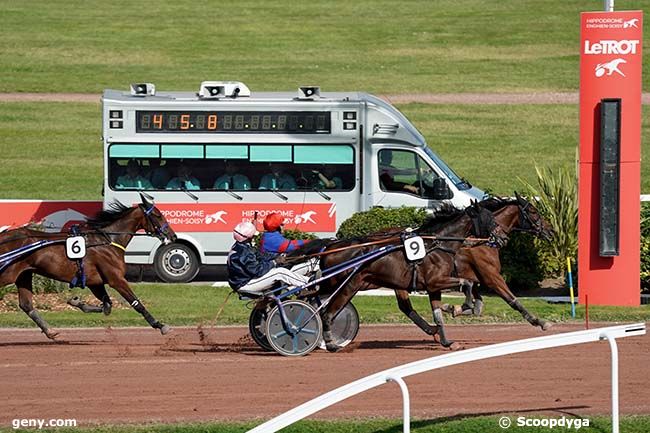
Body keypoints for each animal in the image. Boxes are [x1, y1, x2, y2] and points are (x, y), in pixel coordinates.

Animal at [0, 194, 176, 340]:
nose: (172, 236)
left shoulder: (95, 282)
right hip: (8, 274)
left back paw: (50, 331)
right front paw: (160, 325)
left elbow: (107, 306)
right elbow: (136, 303)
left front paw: (76, 302)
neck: (108, 241)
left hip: (23, 274)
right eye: (158, 215)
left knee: (26, 305)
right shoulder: (116, 279)